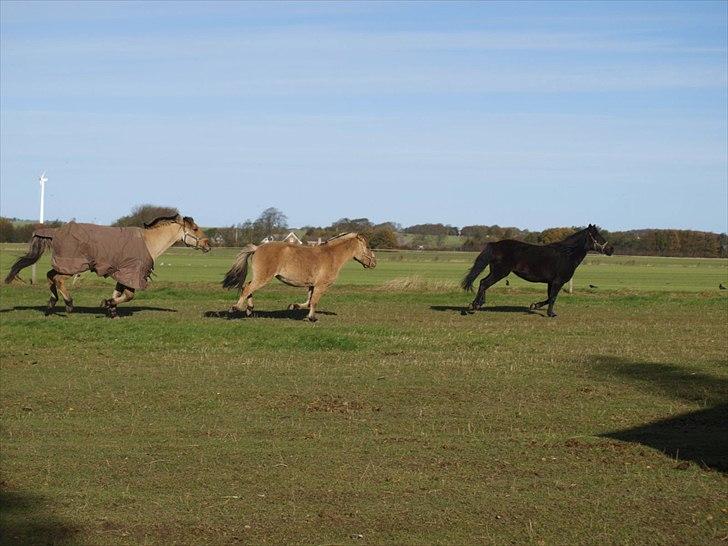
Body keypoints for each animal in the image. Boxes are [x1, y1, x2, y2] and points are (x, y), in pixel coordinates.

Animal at [464, 223, 612, 316]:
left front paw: (534, 305)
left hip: (495, 271)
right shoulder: (558, 282)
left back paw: (478, 304)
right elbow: (553, 297)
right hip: (499, 272)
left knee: (483, 282)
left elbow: (549, 297)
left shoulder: (551, 282)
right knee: (484, 283)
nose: (611, 249)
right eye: (597, 236)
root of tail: (495, 244)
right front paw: (551, 314)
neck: (567, 254)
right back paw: (474, 306)